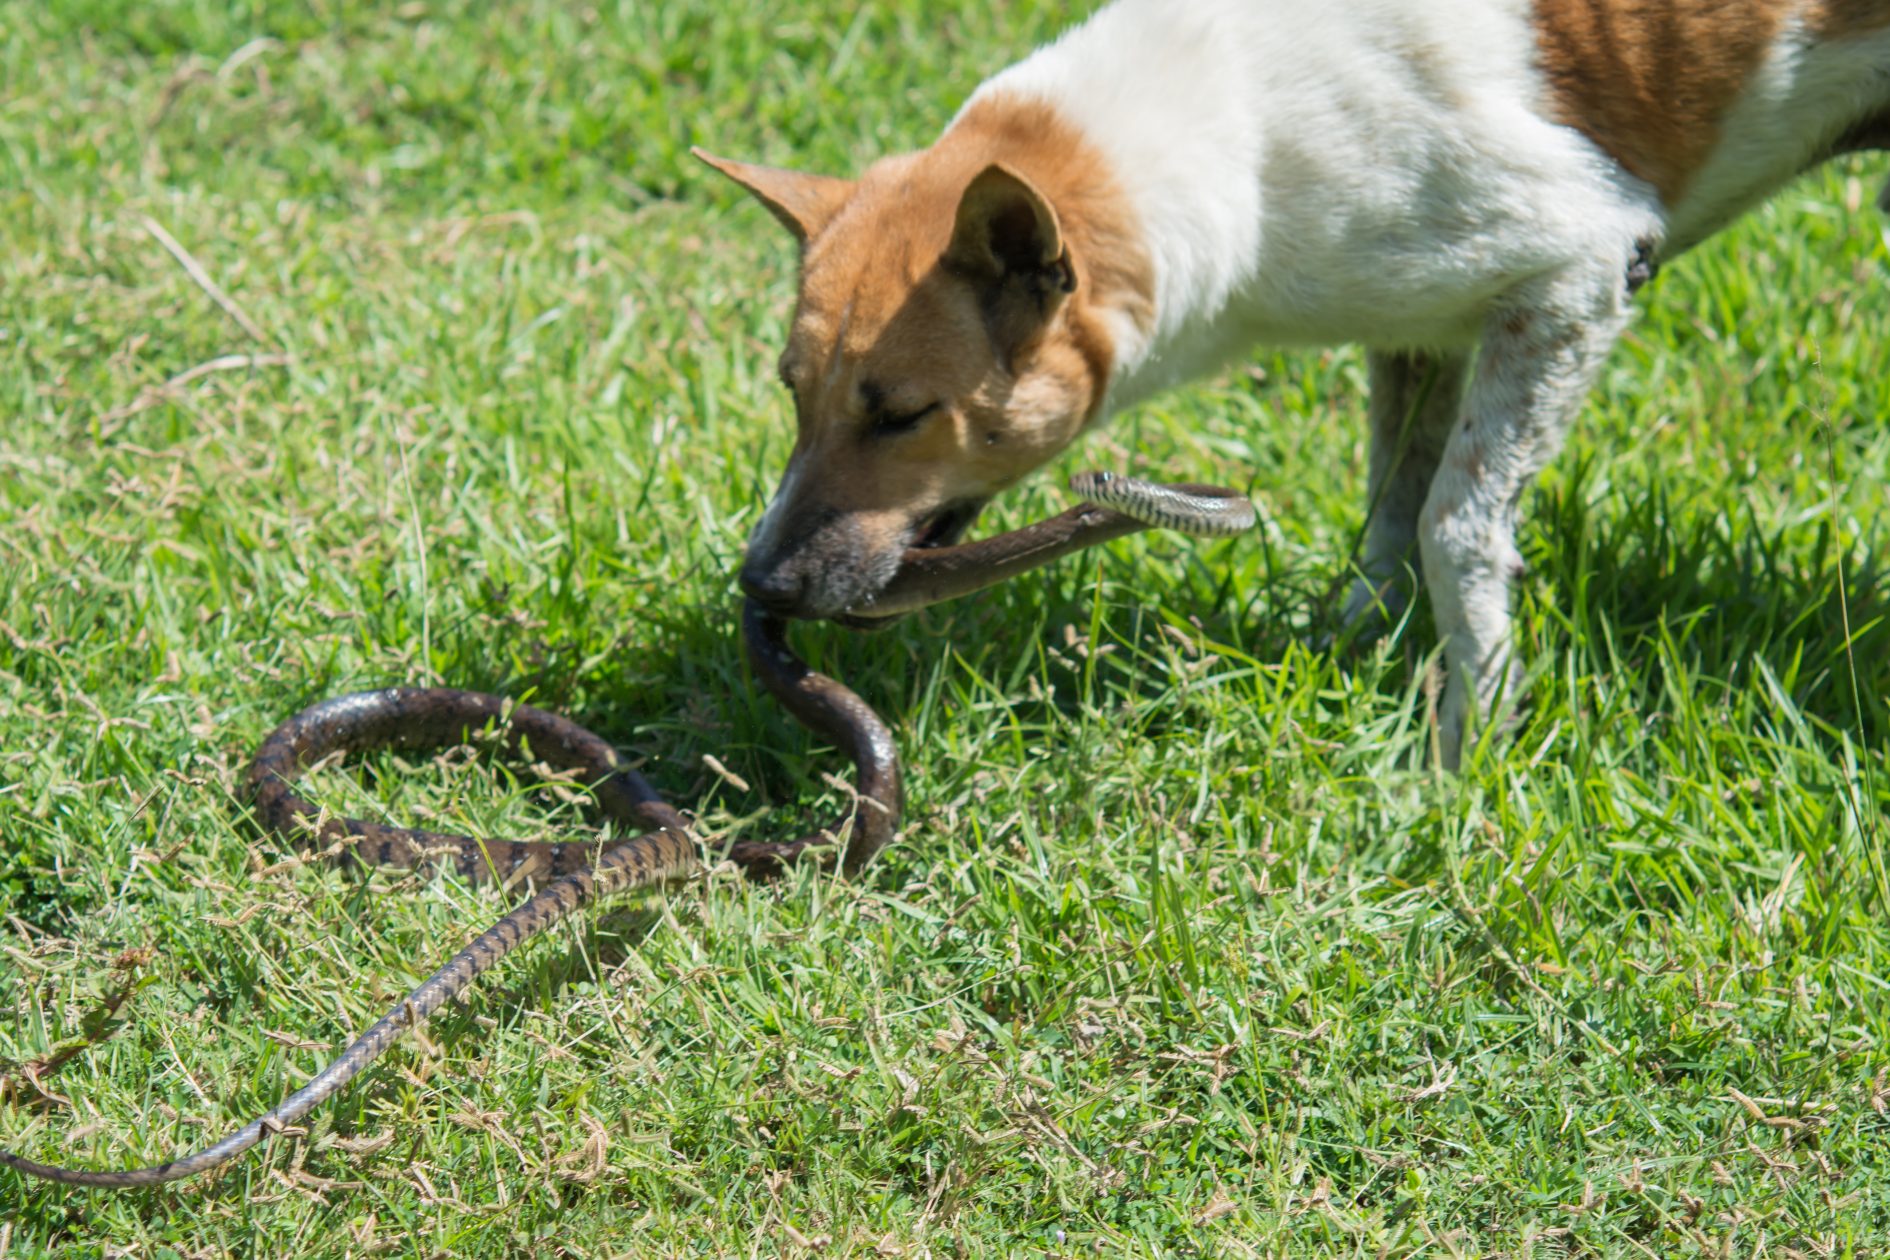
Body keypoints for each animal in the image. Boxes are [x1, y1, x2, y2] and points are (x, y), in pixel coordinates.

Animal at [699, 0, 1890, 770]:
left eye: (902, 415)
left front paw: (1466, 756)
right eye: (790, 392)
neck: (1237, 132)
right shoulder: (1420, 324)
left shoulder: (1578, 270)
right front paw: (1350, 648)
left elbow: (1455, 525)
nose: (763, 586)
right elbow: (1389, 512)